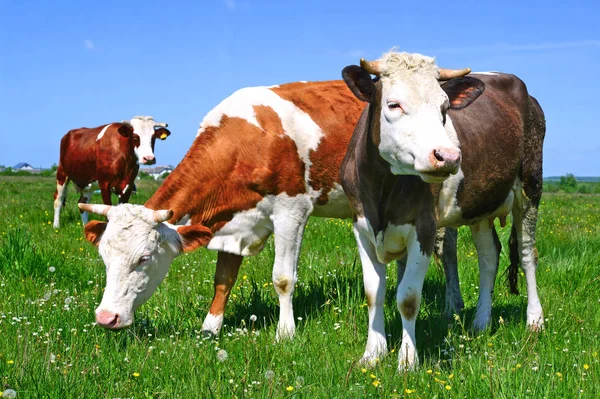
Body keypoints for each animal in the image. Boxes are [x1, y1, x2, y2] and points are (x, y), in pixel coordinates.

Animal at [340, 50, 548, 372]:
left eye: (444, 108)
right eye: (393, 104)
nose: (448, 156)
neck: (383, 191)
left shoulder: (424, 227)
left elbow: (408, 298)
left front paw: (407, 361)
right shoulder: (362, 227)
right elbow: (374, 292)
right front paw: (372, 354)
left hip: (530, 186)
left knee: (527, 253)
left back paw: (534, 321)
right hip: (479, 205)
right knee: (489, 256)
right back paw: (480, 322)